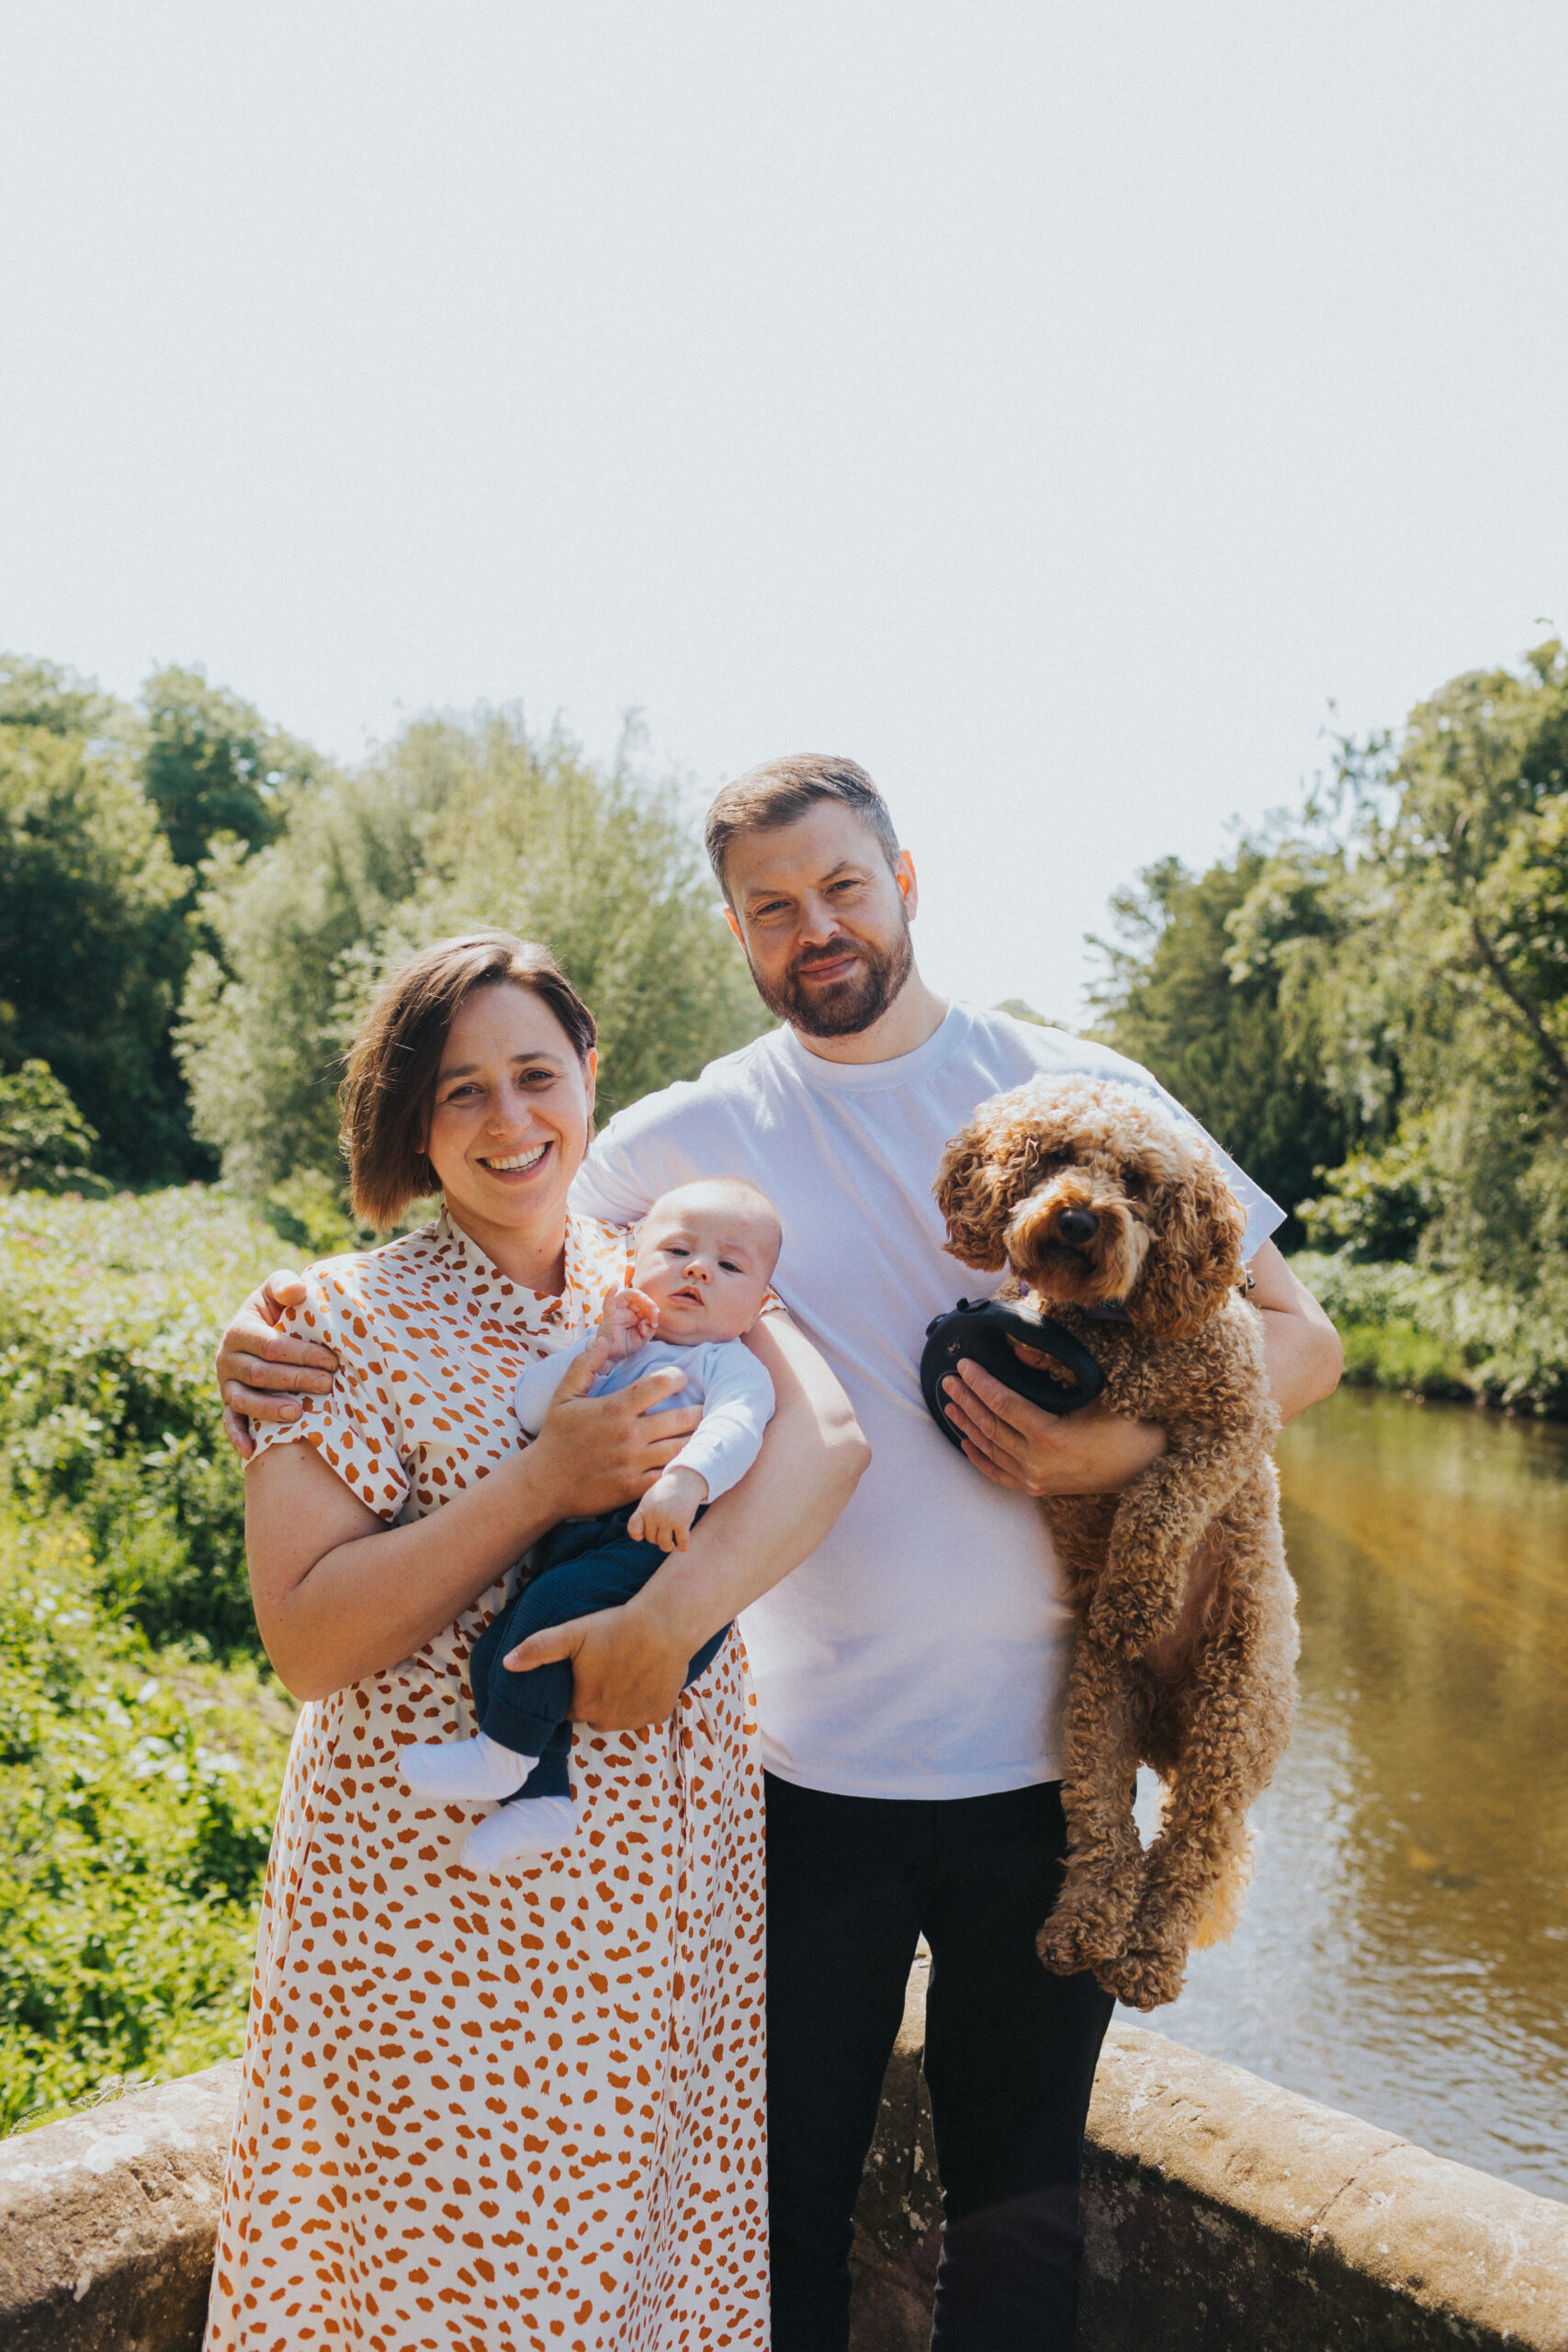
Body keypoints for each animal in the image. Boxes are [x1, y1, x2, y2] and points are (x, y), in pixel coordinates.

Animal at [940, 1077, 1297, 2013]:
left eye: (1137, 1182)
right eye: (1056, 1155)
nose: (1076, 1220)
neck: (1118, 1331)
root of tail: (1169, 1728)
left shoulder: (1235, 1422)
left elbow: (1158, 1499)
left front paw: (1136, 1602)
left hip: (1229, 1715)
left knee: (1191, 1853)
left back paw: (1147, 1956)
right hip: (1097, 1712)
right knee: (1107, 1833)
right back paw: (1082, 1932)